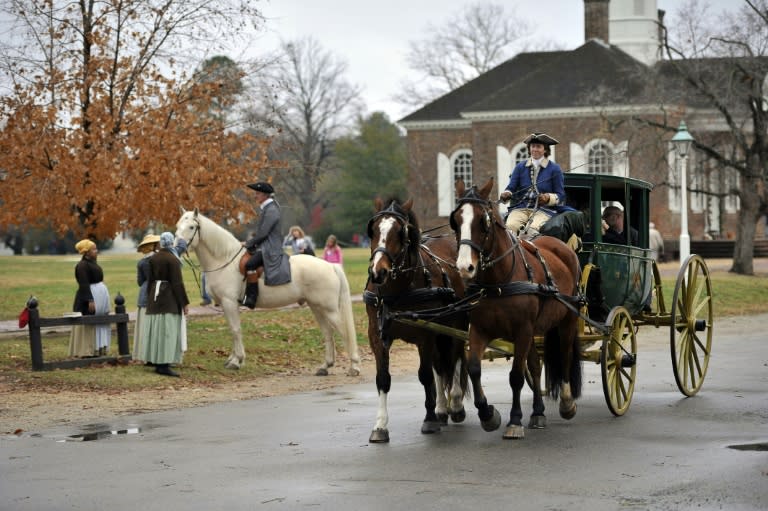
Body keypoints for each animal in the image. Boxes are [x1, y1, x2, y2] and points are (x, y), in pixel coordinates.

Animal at [176, 208, 362, 376]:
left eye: (191, 227)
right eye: (178, 225)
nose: (177, 246)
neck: (225, 259)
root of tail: (330, 265)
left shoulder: (229, 302)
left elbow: (235, 330)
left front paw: (237, 361)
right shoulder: (224, 304)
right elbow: (232, 330)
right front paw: (233, 359)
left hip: (329, 310)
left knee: (344, 332)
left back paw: (354, 366)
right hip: (317, 307)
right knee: (328, 332)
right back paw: (325, 366)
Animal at [364, 199, 468, 444]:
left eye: (400, 232)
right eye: (373, 230)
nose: (378, 272)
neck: (396, 291)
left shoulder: (425, 334)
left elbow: (425, 375)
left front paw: (429, 419)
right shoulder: (377, 335)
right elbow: (383, 378)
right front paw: (380, 425)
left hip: (456, 325)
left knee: (456, 358)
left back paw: (455, 405)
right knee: (441, 365)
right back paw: (442, 409)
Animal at [450, 180, 584, 440]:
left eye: (483, 220)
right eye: (456, 220)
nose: (464, 267)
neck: (499, 281)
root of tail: (562, 247)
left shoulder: (522, 331)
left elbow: (516, 376)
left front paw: (514, 420)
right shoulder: (479, 330)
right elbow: (474, 369)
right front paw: (488, 415)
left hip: (567, 320)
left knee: (564, 355)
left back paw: (566, 403)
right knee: (535, 365)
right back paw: (538, 413)